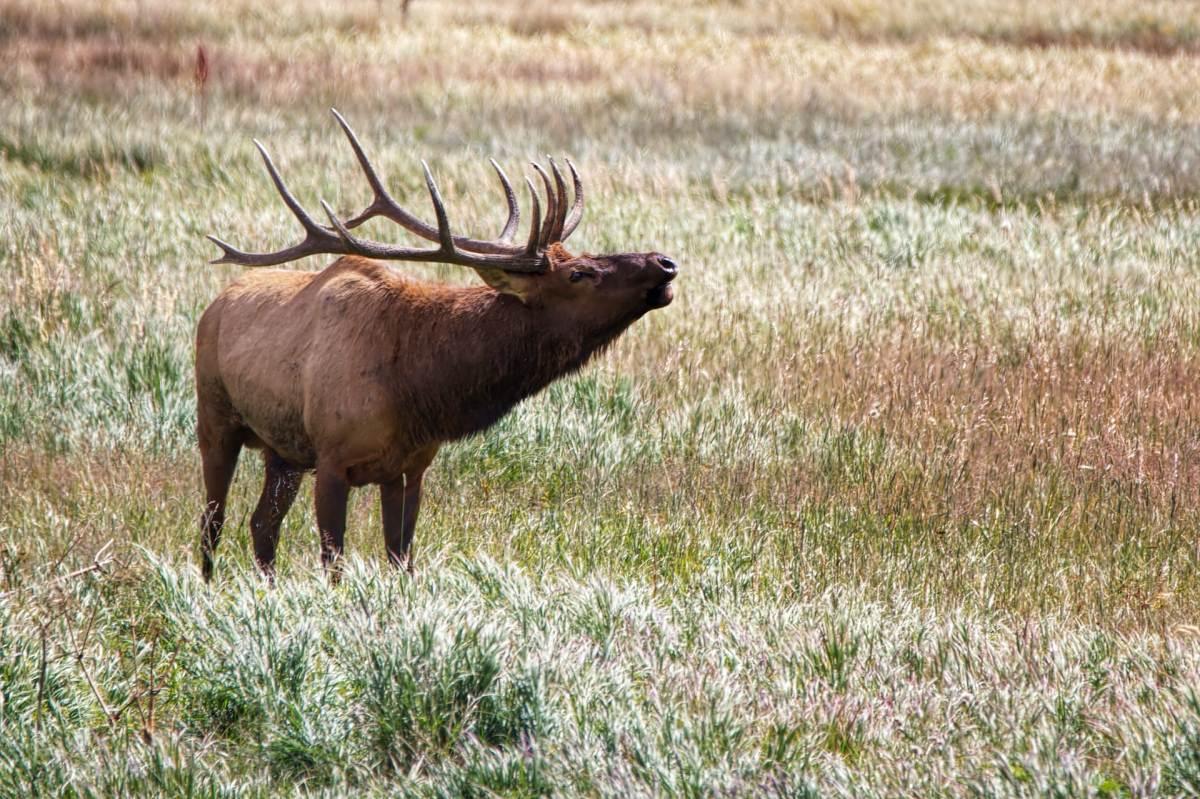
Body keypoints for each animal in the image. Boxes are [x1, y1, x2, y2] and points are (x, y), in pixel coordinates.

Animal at [201, 109, 681, 575]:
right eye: (579, 273)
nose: (665, 262)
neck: (418, 391)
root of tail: (215, 303)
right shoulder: (332, 457)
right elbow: (333, 561)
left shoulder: (410, 467)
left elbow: (401, 560)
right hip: (216, 417)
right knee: (213, 521)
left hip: (284, 451)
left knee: (262, 524)